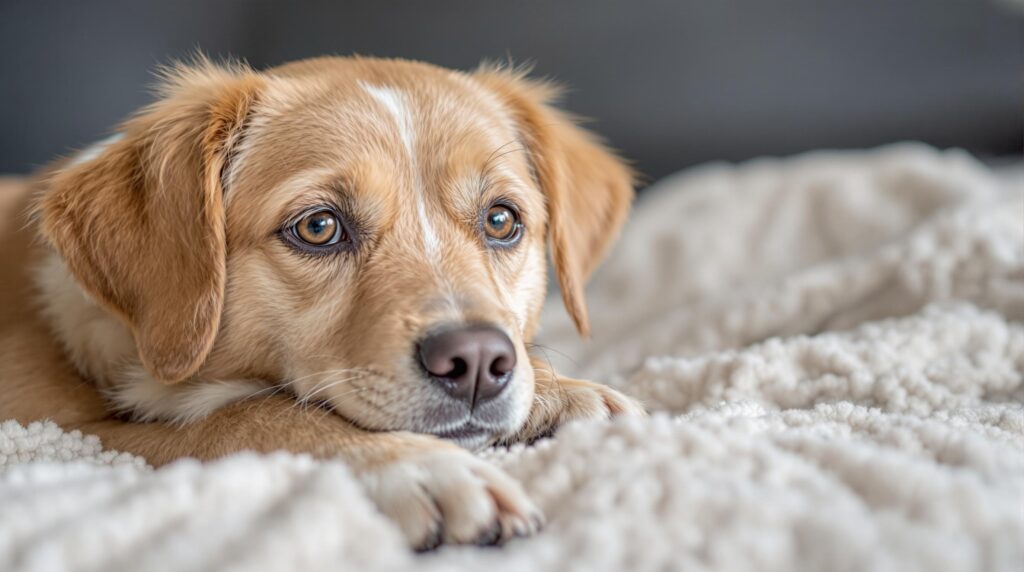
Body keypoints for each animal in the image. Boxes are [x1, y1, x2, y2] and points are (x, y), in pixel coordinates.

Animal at [0, 57, 638, 552]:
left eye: (501, 220)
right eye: (318, 227)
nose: (478, 361)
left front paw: (559, 392)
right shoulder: (64, 435)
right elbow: (248, 415)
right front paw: (414, 465)